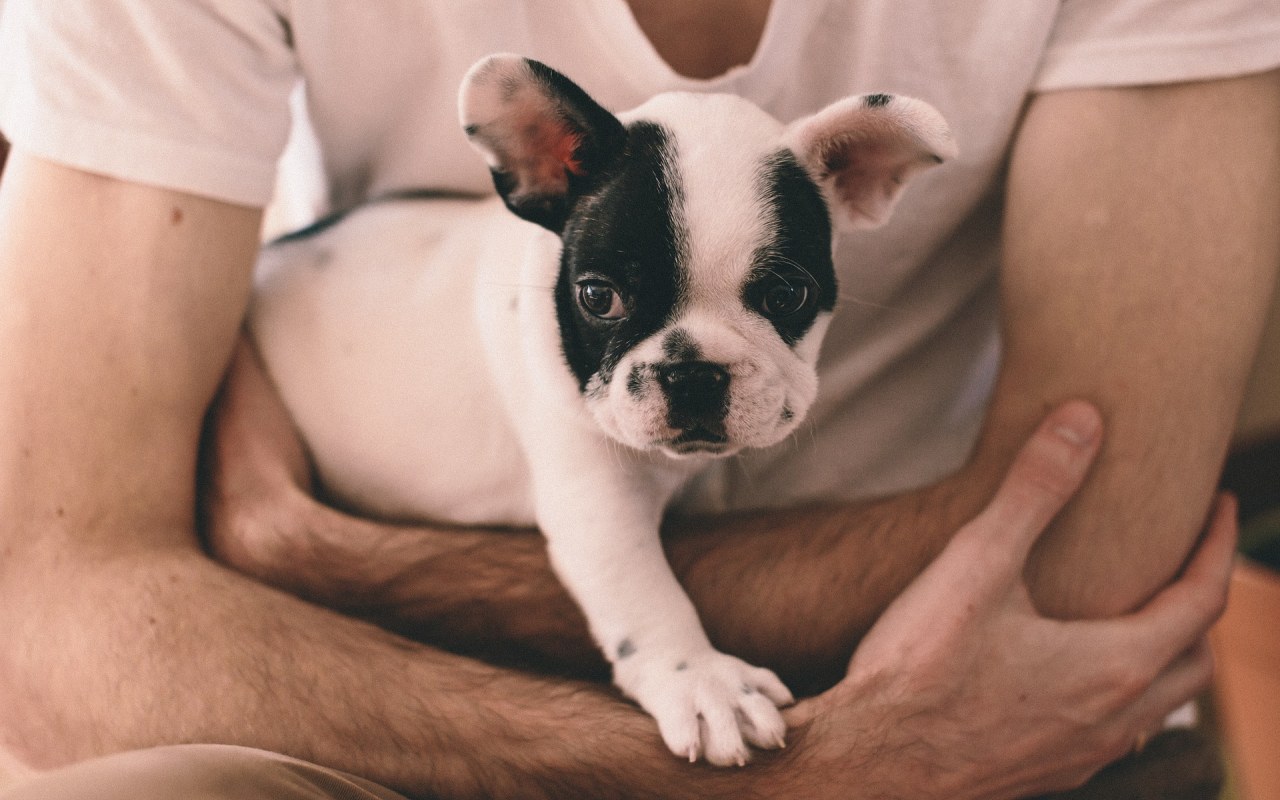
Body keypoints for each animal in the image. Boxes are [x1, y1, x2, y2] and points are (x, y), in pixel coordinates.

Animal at [249, 53, 957, 762]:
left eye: (787, 296)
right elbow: (642, 590)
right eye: (598, 297)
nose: (692, 373)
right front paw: (702, 682)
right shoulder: (595, 495)